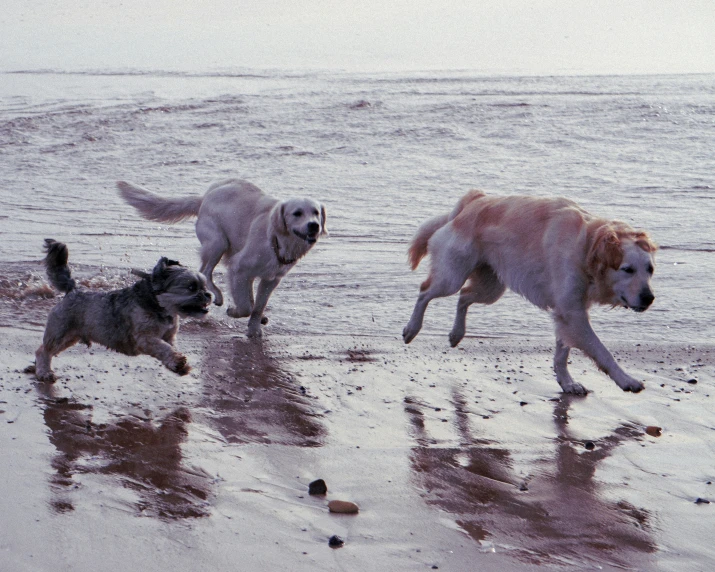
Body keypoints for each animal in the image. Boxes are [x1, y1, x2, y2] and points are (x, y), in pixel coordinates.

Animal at [119, 179, 328, 338]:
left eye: (316, 213)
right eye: (297, 213)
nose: (314, 226)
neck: (276, 238)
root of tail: (204, 198)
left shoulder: (271, 279)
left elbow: (258, 306)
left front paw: (254, 328)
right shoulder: (238, 267)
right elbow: (245, 306)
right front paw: (234, 312)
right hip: (217, 243)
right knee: (205, 271)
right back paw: (217, 296)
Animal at [402, 191, 656, 394]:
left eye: (650, 269)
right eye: (627, 269)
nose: (649, 298)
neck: (586, 246)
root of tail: (472, 201)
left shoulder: (568, 312)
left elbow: (562, 353)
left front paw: (567, 383)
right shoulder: (573, 312)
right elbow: (602, 351)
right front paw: (626, 380)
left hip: (491, 287)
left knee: (464, 297)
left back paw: (456, 334)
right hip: (451, 277)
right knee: (425, 292)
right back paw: (412, 329)